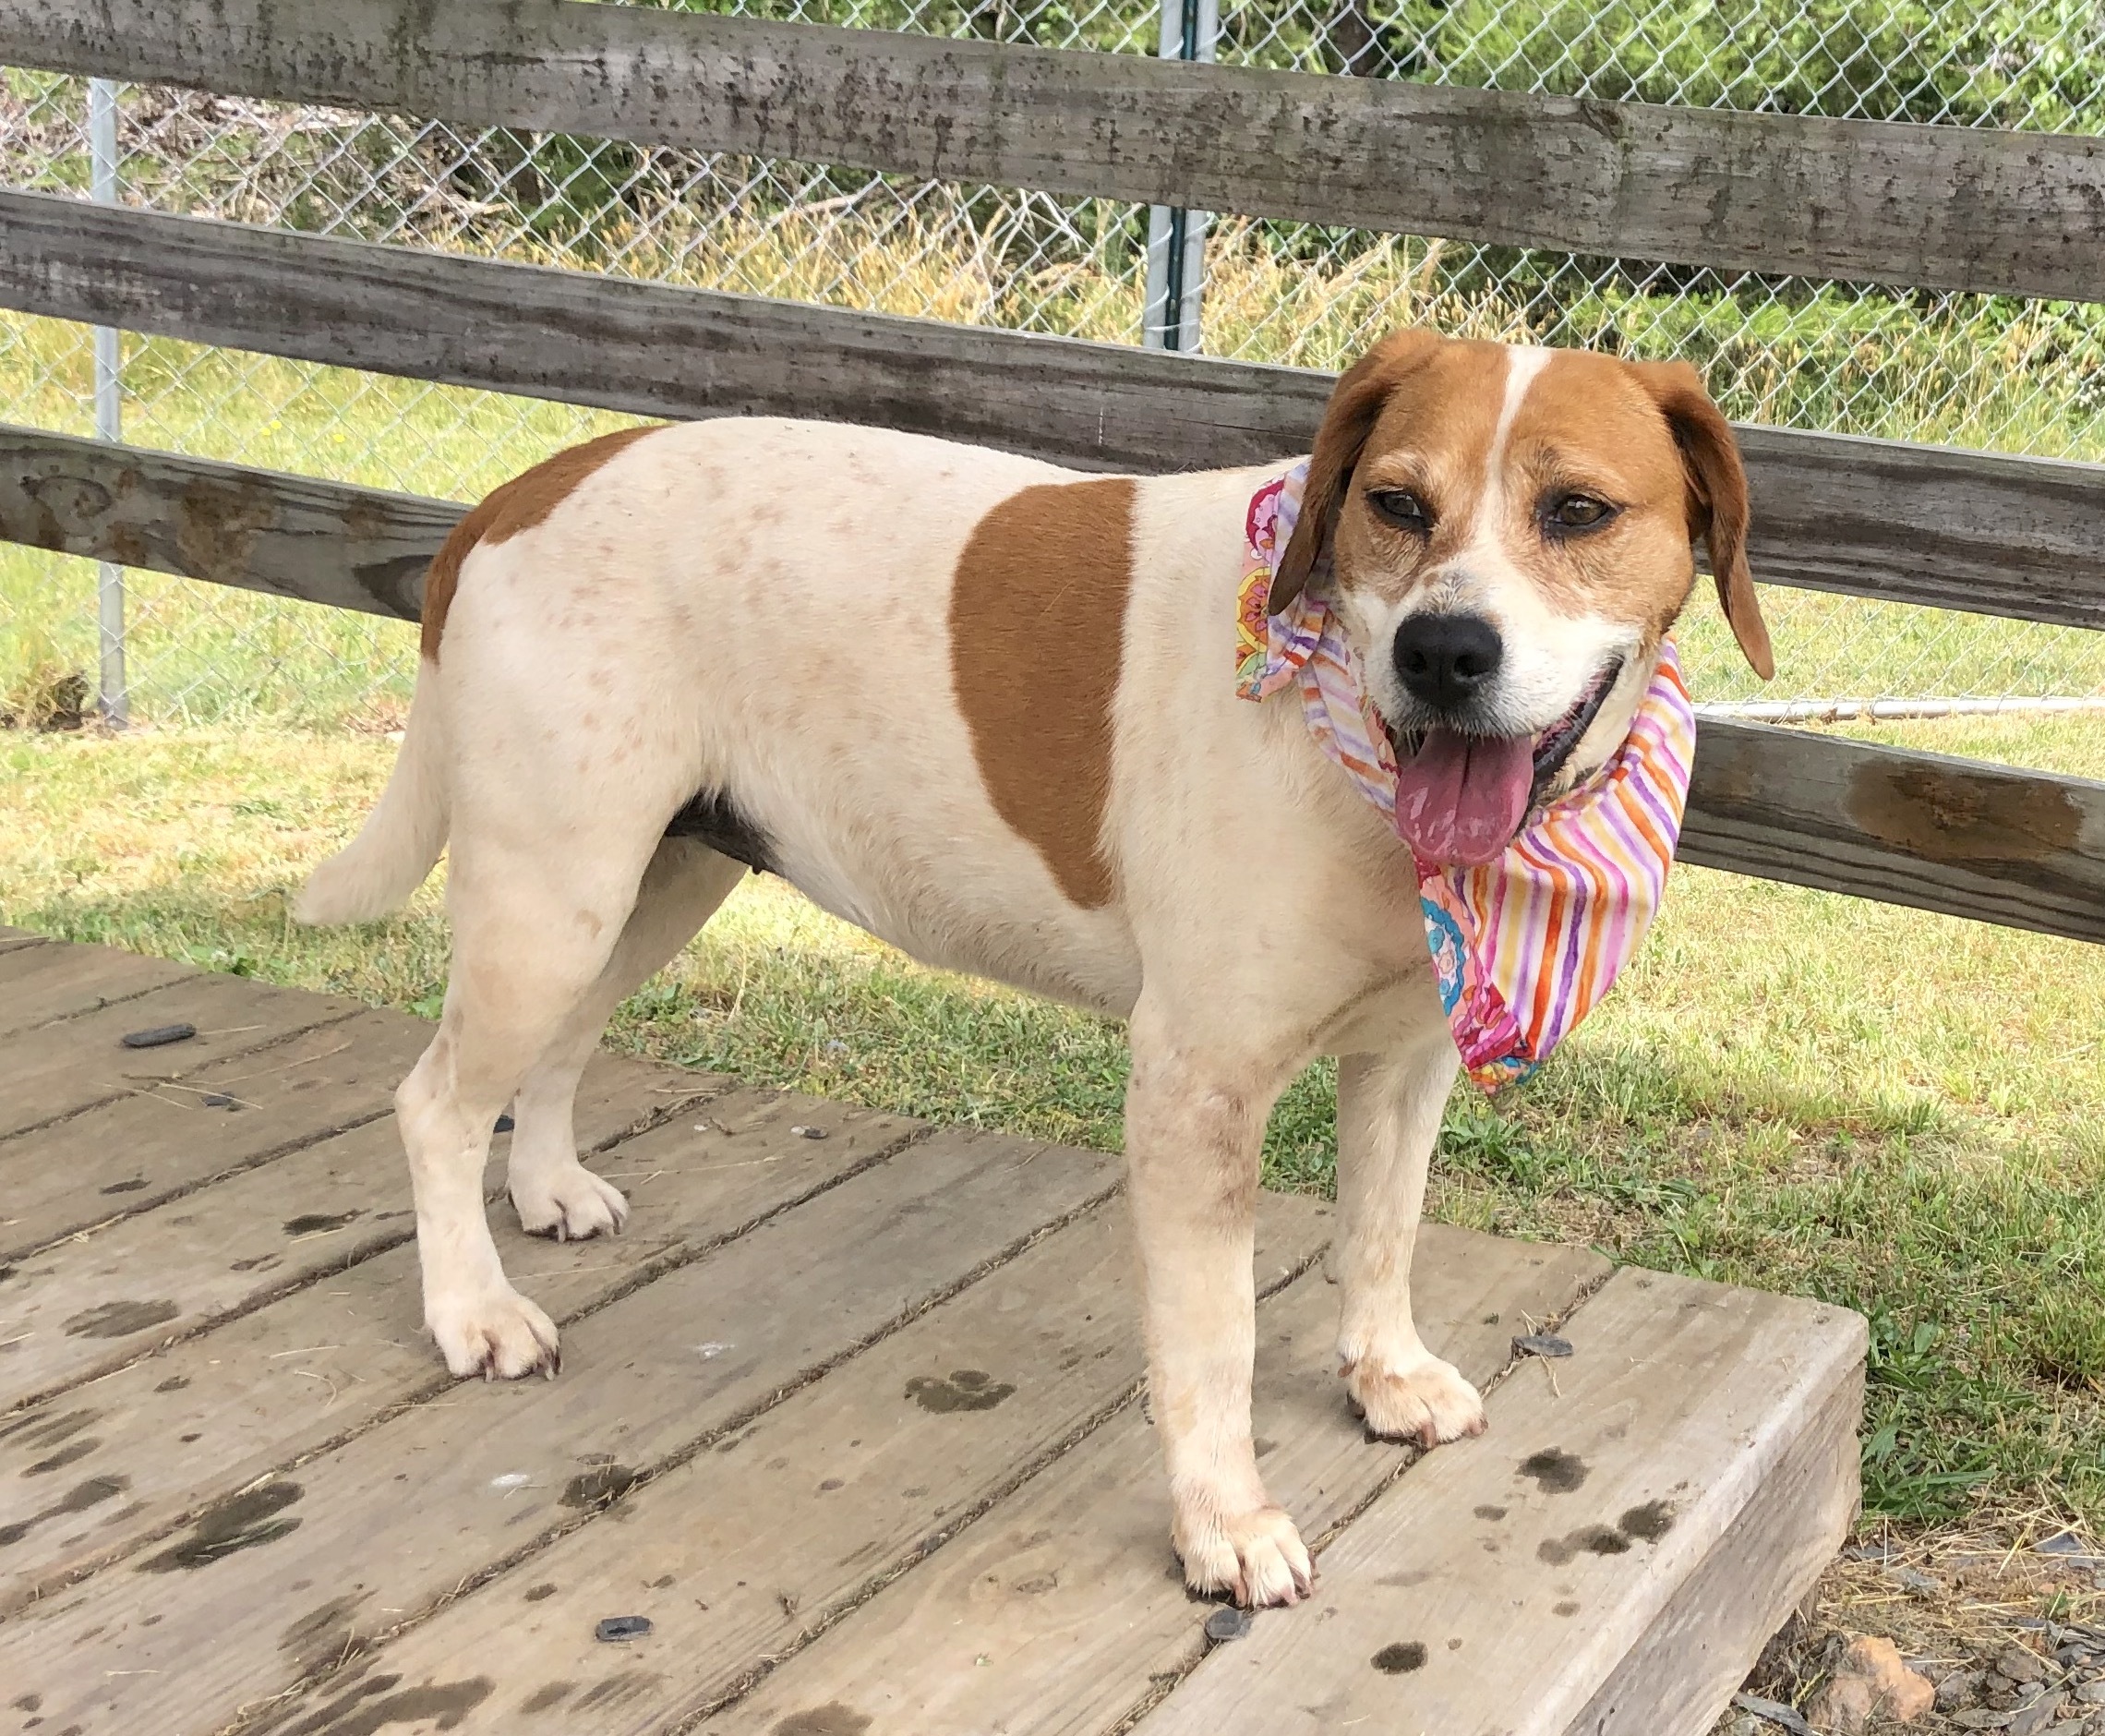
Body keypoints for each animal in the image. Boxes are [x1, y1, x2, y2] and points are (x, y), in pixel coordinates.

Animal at [301, 332, 1776, 1607]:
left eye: (1579, 512)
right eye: (1396, 504)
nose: (1444, 652)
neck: (1346, 742)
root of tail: (518, 491)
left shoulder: (1406, 1059)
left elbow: (1382, 1236)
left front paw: (1385, 1376)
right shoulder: (1195, 1090)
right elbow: (1213, 1343)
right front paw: (1225, 1526)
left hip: (649, 881)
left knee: (551, 1052)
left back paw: (546, 1187)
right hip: (553, 895)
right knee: (434, 1102)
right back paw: (472, 1311)